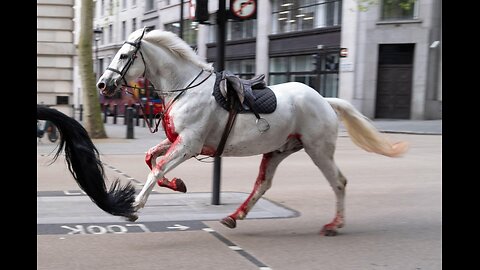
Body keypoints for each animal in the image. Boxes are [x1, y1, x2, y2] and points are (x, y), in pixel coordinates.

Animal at [95, 29, 406, 235]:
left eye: (124, 55)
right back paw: (235, 215)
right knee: (262, 185)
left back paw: (335, 224)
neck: (185, 89)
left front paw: (134, 207)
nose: (102, 84)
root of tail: (324, 100)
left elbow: (157, 167)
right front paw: (177, 184)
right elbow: (151, 158)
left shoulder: (188, 144)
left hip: (318, 150)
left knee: (339, 182)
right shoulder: (178, 141)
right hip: (278, 150)